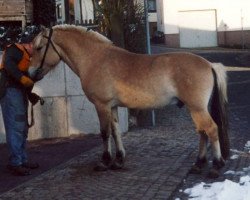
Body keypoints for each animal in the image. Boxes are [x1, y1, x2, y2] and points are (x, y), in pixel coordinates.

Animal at [28, 25, 229, 178]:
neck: (95, 58)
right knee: (202, 132)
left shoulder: (101, 105)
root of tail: (209, 64)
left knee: (211, 129)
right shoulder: (113, 107)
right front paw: (118, 160)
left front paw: (105, 162)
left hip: (197, 108)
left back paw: (215, 166)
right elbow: (116, 132)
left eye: (39, 48)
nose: (30, 73)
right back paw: (198, 164)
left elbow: (104, 133)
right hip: (195, 108)